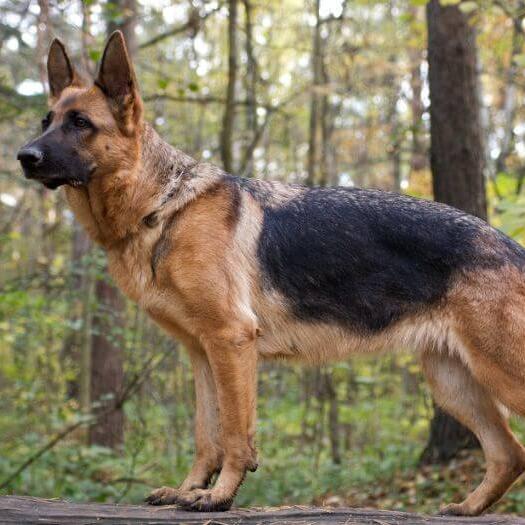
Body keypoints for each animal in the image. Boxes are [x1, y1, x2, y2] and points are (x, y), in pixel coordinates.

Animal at [17, 31, 525, 512]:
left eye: (81, 123)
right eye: (47, 121)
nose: (24, 157)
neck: (161, 206)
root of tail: (511, 245)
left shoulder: (231, 341)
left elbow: (235, 436)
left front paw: (219, 496)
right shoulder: (202, 354)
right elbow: (206, 435)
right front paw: (188, 489)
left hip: (496, 373)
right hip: (452, 383)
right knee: (508, 453)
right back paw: (468, 507)